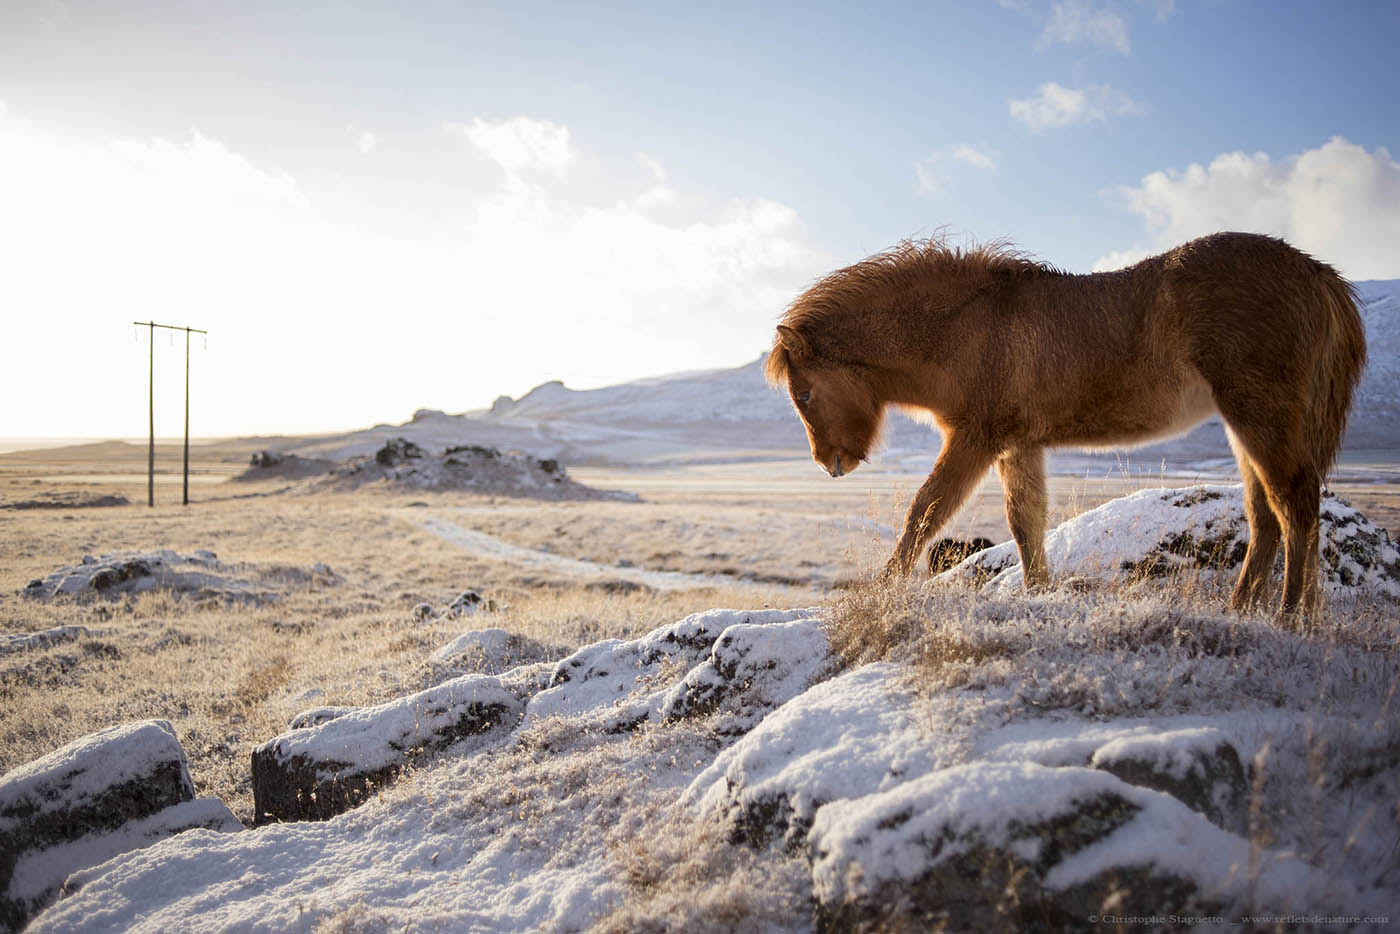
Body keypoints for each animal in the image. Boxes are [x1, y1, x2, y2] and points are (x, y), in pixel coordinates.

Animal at [767, 229, 1366, 616]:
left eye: (804, 391)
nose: (828, 464)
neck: (963, 327)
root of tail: (1318, 274)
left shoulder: (975, 439)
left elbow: (925, 511)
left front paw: (881, 590)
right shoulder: (1016, 446)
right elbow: (1025, 521)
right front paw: (1038, 594)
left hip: (1259, 415)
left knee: (1294, 504)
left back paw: (1291, 616)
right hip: (1245, 426)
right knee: (1266, 514)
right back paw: (1244, 610)